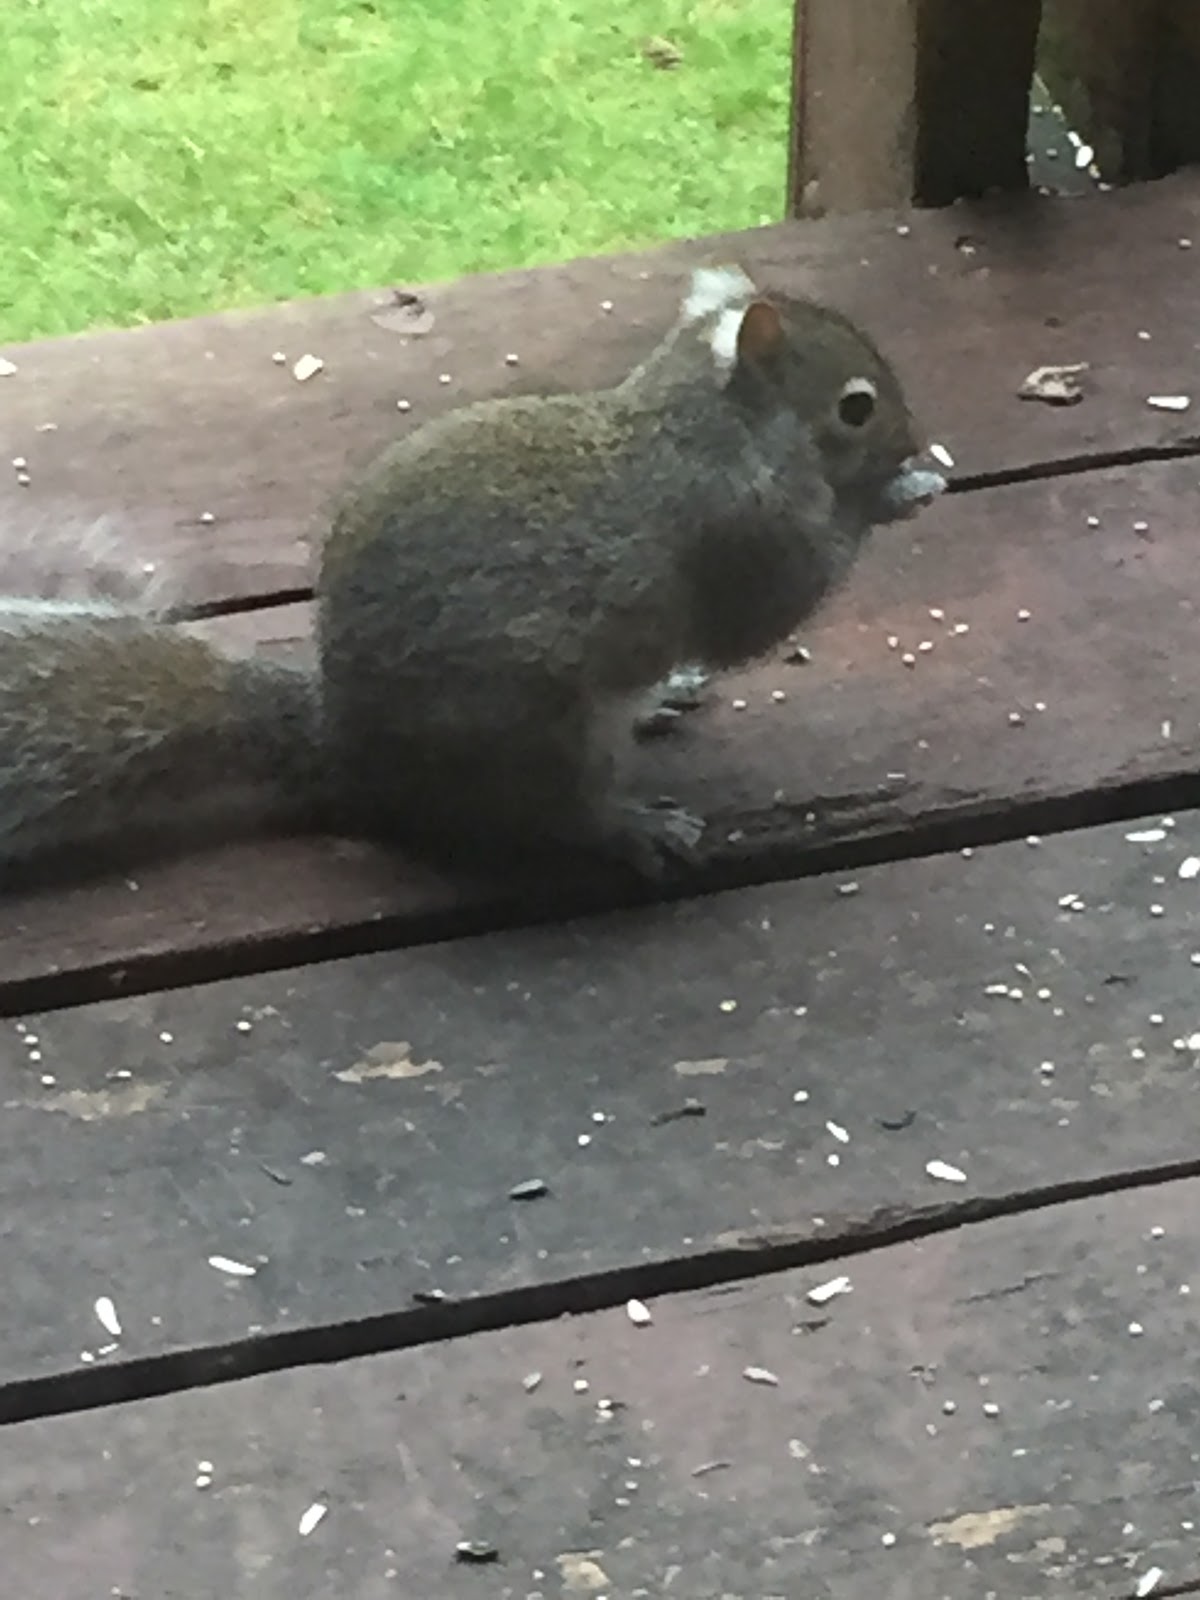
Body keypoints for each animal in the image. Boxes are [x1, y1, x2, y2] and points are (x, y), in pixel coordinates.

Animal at [0, 266, 944, 887]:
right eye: (856, 407)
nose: (911, 441)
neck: (708, 422)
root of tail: (346, 745)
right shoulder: (733, 531)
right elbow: (774, 603)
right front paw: (900, 492)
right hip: (535, 730)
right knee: (555, 816)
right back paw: (631, 826)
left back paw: (662, 698)